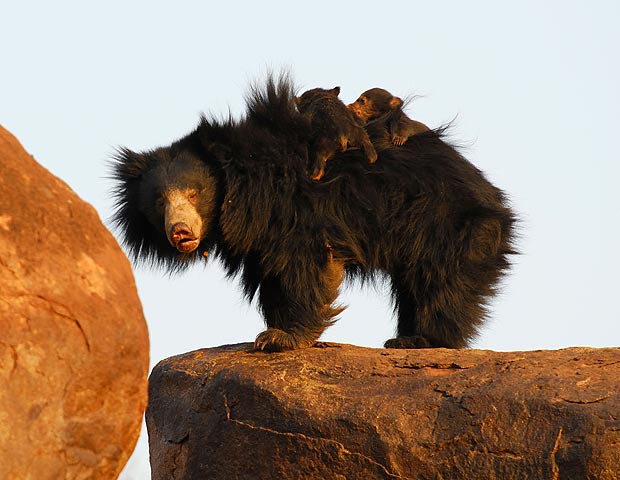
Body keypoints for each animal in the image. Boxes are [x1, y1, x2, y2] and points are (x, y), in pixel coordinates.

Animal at [111, 74, 520, 352]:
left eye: (194, 194)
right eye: (159, 201)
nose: (180, 231)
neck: (242, 185)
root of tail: (494, 197)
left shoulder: (293, 208)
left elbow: (304, 263)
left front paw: (279, 337)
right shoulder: (259, 234)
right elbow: (270, 273)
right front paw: (274, 326)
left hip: (443, 219)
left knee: (441, 280)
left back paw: (422, 339)